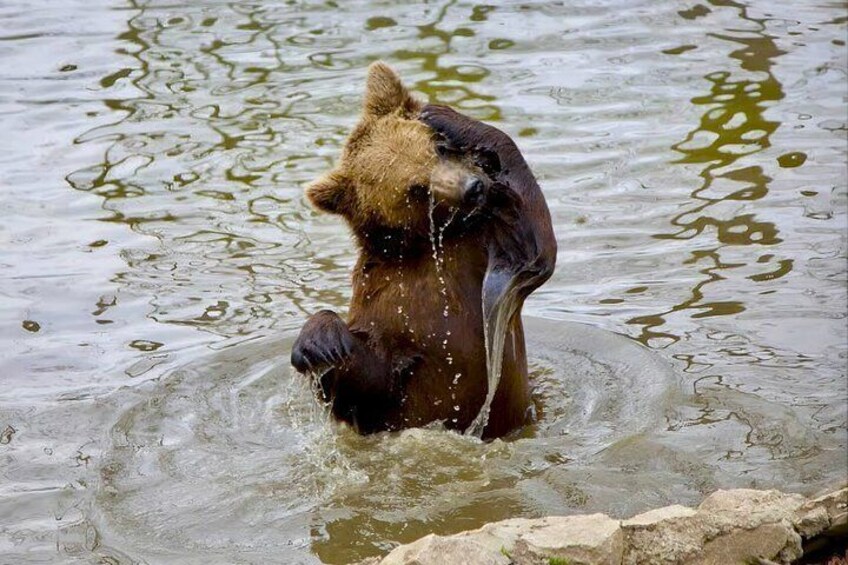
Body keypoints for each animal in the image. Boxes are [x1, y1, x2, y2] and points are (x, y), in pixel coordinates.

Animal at [291, 61, 556, 439]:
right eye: (415, 188)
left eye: (439, 148)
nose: (473, 188)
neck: (430, 242)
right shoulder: (388, 308)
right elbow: (371, 382)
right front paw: (322, 342)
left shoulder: (487, 247)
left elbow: (533, 245)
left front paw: (445, 115)